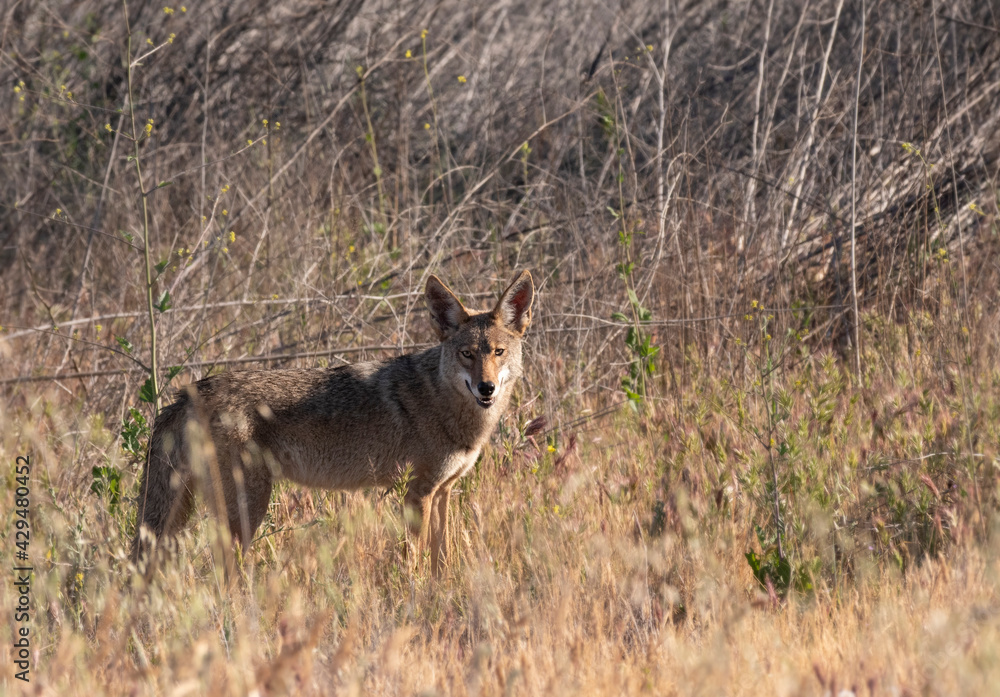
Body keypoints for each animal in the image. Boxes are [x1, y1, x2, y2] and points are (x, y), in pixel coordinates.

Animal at [130, 271, 534, 576]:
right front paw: (417, 597)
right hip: (247, 510)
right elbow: (414, 561)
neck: (449, 407)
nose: (486, 387)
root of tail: (191, 391)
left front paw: (444, 590)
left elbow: (442, 556)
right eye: (467, 354)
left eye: (498, 352)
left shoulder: (444, 490)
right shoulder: (417, 493)